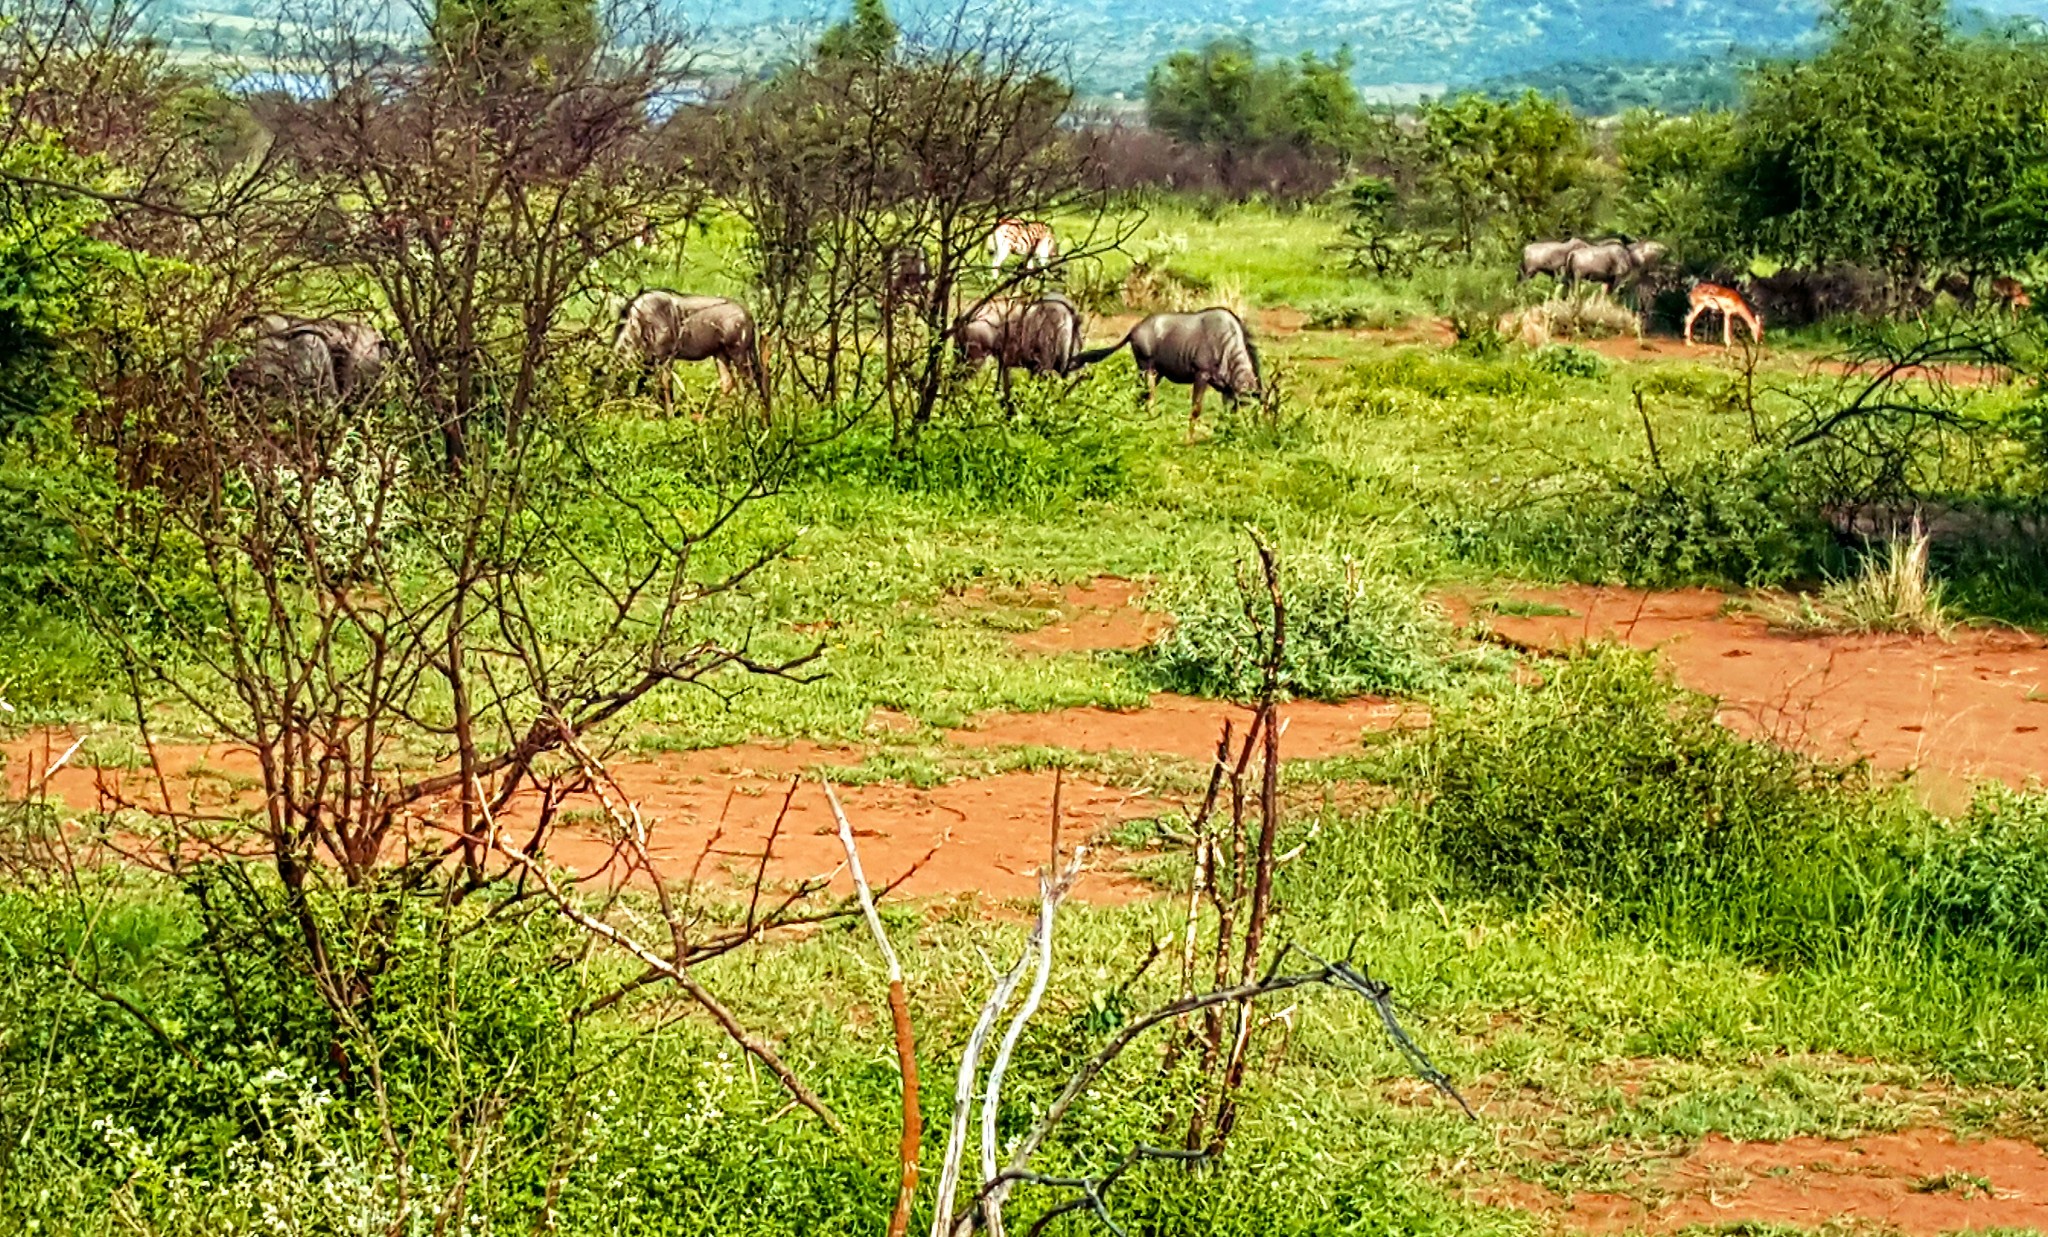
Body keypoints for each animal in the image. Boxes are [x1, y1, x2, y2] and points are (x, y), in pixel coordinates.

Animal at [610, 290, 770, 419]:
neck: (639, 322)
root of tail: (748, 316)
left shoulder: (666, 357)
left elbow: (663, 384)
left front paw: (669, 416)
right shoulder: (648, 361)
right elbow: (644, 385)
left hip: (739, 354)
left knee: (750, 382)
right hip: (721, 354)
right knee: (729, 382)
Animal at [1081, 307, 1253, 442]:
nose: (1246, 434)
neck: (1225, 343)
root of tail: (1135, 328)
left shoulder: (1227, 389)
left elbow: (1224, 412)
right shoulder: (1201, 375)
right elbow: (1196, 409)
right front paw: (1189, 440)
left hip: (1156, 373)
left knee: (1138, 395)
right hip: (1147, 369)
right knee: (1148, 399)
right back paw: (1151, 425)